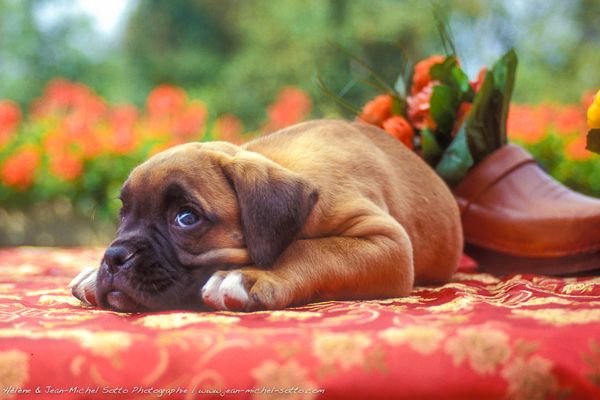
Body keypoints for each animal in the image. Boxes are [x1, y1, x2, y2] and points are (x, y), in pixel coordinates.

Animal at [71, 119, 464, 312]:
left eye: (186, 218)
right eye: (124, 214)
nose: (114, 256)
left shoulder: (388, 244)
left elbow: (313, 249)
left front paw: (248, 276)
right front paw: (92, 273)